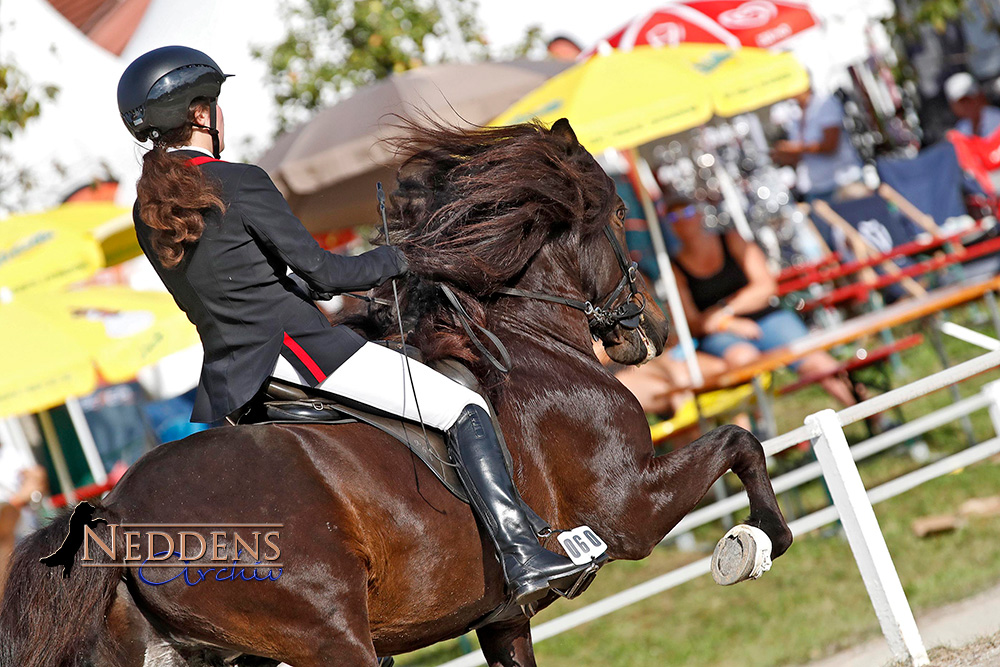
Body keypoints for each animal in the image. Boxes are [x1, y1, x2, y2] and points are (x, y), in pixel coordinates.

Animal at [1, 120, 796, 667]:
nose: (649, 331)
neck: (529, 338)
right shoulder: (628, 508)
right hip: (331, 640)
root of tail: (113, 512)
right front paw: (754, 543)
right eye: (624, 215)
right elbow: (740, 441)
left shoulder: (502, 616)